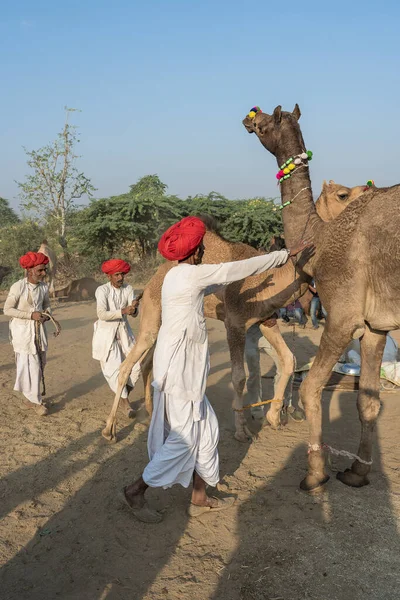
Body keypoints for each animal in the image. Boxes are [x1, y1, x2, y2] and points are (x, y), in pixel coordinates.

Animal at [101, 180, 368, 442]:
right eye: (343, 194)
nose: (368, 189)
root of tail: (147, 286)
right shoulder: (235, 323)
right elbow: (239, 376)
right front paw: (242, 430)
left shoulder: (265, 320)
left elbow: (288, 360)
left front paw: (273, 417)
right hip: (152, 314)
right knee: (127, 365)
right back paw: (110, 429)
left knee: (147, 363)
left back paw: (150, 413)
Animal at [241, 103, 400, 490]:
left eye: (264, 122)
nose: (248, 118)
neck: (320, 236)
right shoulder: (374, 326)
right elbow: (368, 400)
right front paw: (357, 472)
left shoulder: (342, 316)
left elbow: (310, 388)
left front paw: (315, 473)